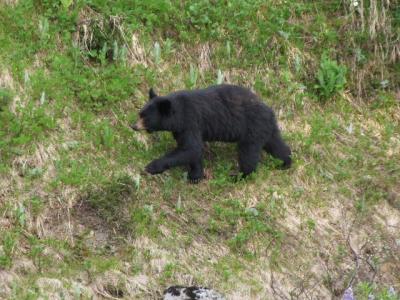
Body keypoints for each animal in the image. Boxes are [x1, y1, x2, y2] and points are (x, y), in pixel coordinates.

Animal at [131, 84, 290, 183]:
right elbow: (192, 150)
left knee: (248, 154)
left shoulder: (191, 122)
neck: (178, 114)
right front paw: (195, 176)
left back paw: (239, 176)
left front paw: (152, 166)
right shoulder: (180, 130)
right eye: (140, 113)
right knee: (276, 145)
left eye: (145, 118)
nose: (133, 126)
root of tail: (270, 111)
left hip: (252, 129)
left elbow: (191, 148)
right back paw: (286, 162)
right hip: (265, 129)